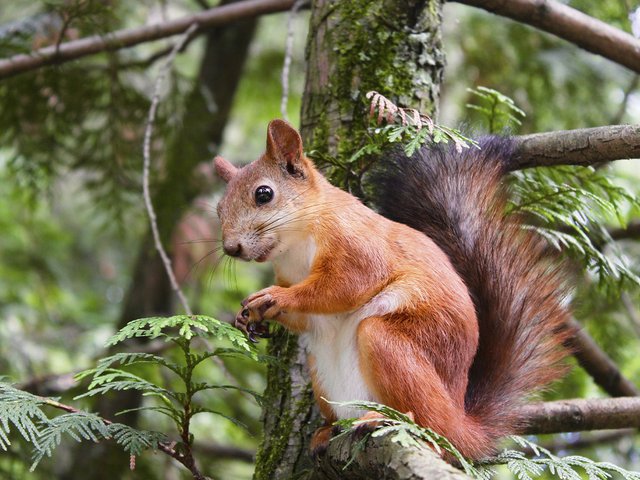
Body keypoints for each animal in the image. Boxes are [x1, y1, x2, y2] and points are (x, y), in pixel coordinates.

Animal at [215, 118, 568, 460]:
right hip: (322, 374)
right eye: (219, 209)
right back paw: (327, 431)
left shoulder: (358, 245)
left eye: (264, 194)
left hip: (391, 345)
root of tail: (462, 424)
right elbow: (307, 317)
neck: (296, 244)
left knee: (430, 426)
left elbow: (343, 287)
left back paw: (388, 420)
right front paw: (250, 317)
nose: (231, 248)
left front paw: (275, 297)